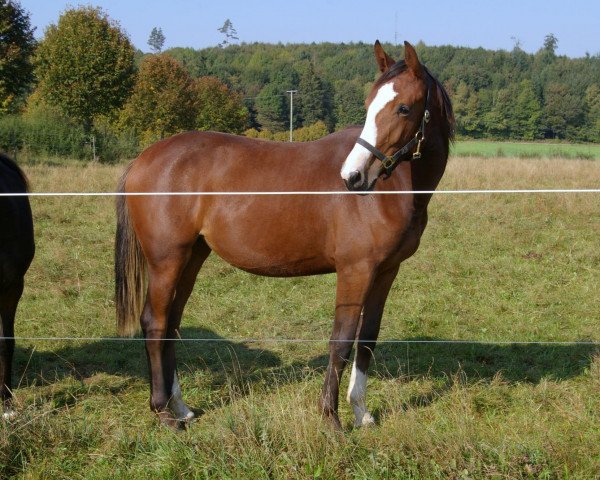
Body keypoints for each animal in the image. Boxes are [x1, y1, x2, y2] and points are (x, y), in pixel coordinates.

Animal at [116, 41, 454, 428]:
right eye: (369, 105)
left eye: (403, 107)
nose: (352, 177)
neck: (392, 188)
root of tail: (142, 159)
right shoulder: (355, 270)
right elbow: (341, 340)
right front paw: (331, 419)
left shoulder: (386, 271)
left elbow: (367, 338)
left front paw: (361, 412)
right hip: (166, 261)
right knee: (155, 323)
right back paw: (163, 412)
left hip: (191, 258)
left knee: (171, 324)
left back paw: (181, 408)